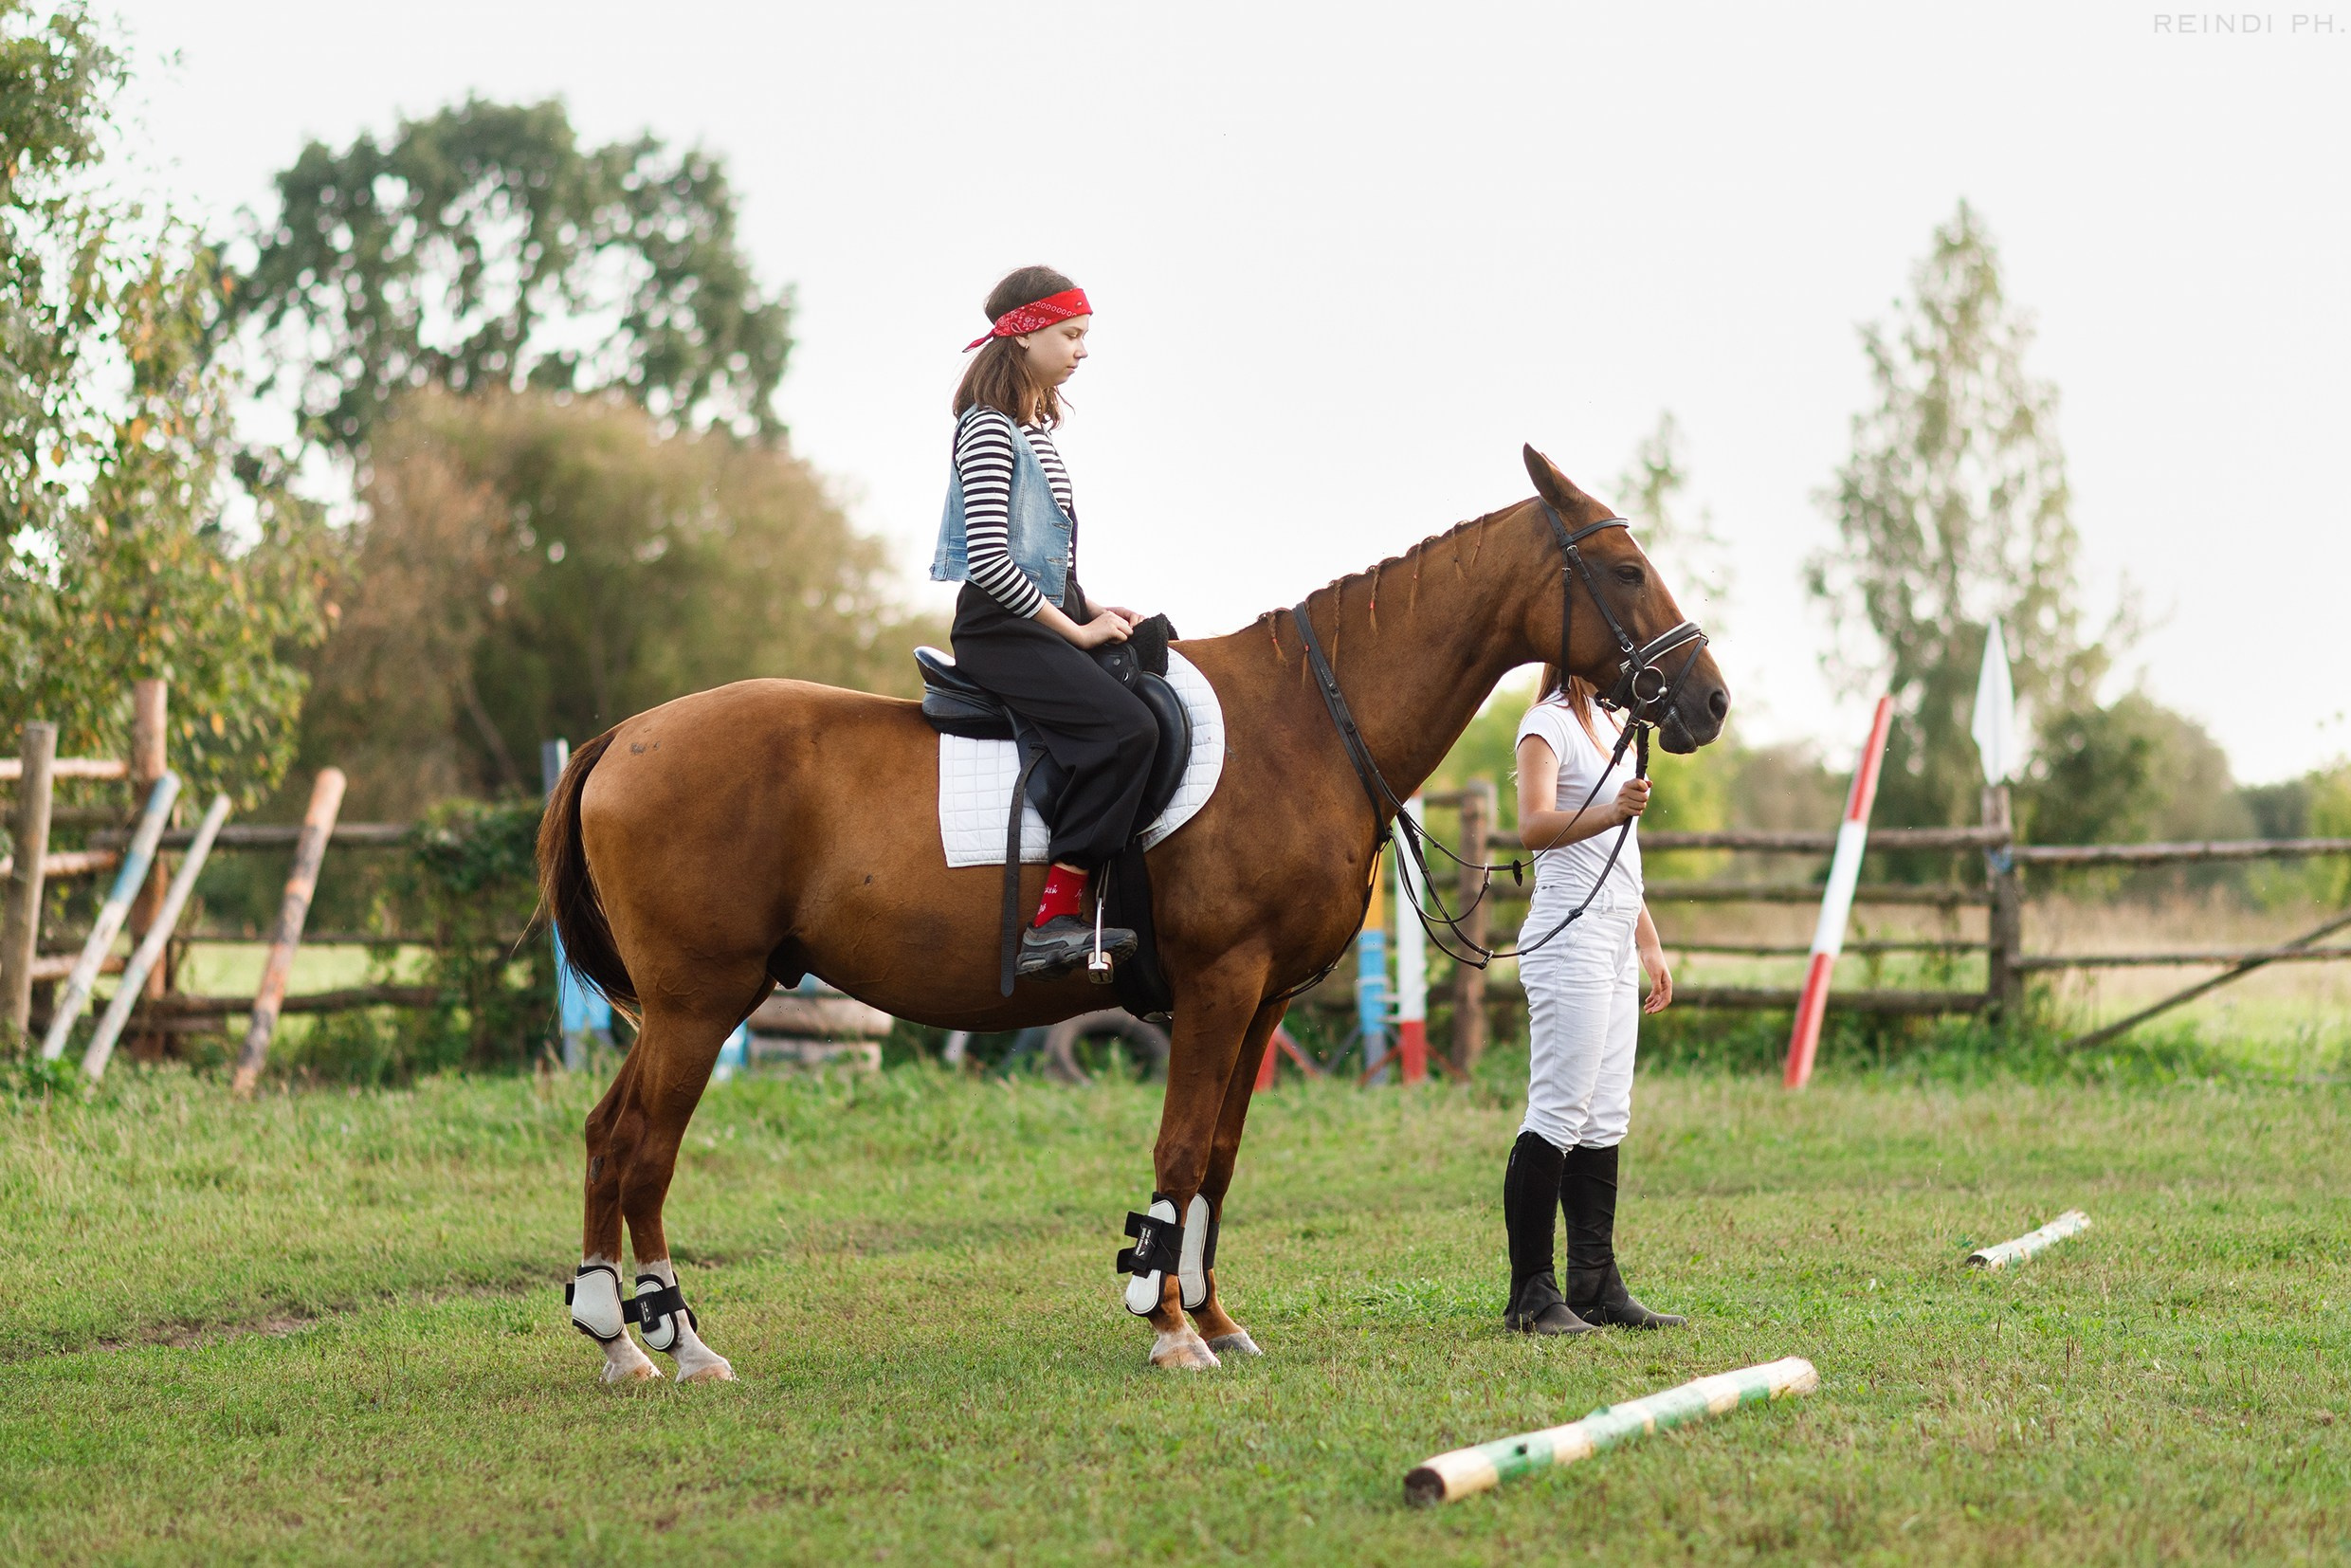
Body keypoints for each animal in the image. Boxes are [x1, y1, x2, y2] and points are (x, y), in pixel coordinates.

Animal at [539, 446, 1729, 1381]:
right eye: (1624, 569)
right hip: (699, 1004)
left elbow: (1217, 1161)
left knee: (606, 1136)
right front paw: (1168, 1329)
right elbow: (1178, 1151)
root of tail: (623, 735)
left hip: (684, 1008)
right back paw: (668, 1340)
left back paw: (624, 1336)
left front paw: (1209, 1312)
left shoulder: (1260, 1004)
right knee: (640, 1147)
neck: (1304, 722)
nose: (1708, 699)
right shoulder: (1218, 985)